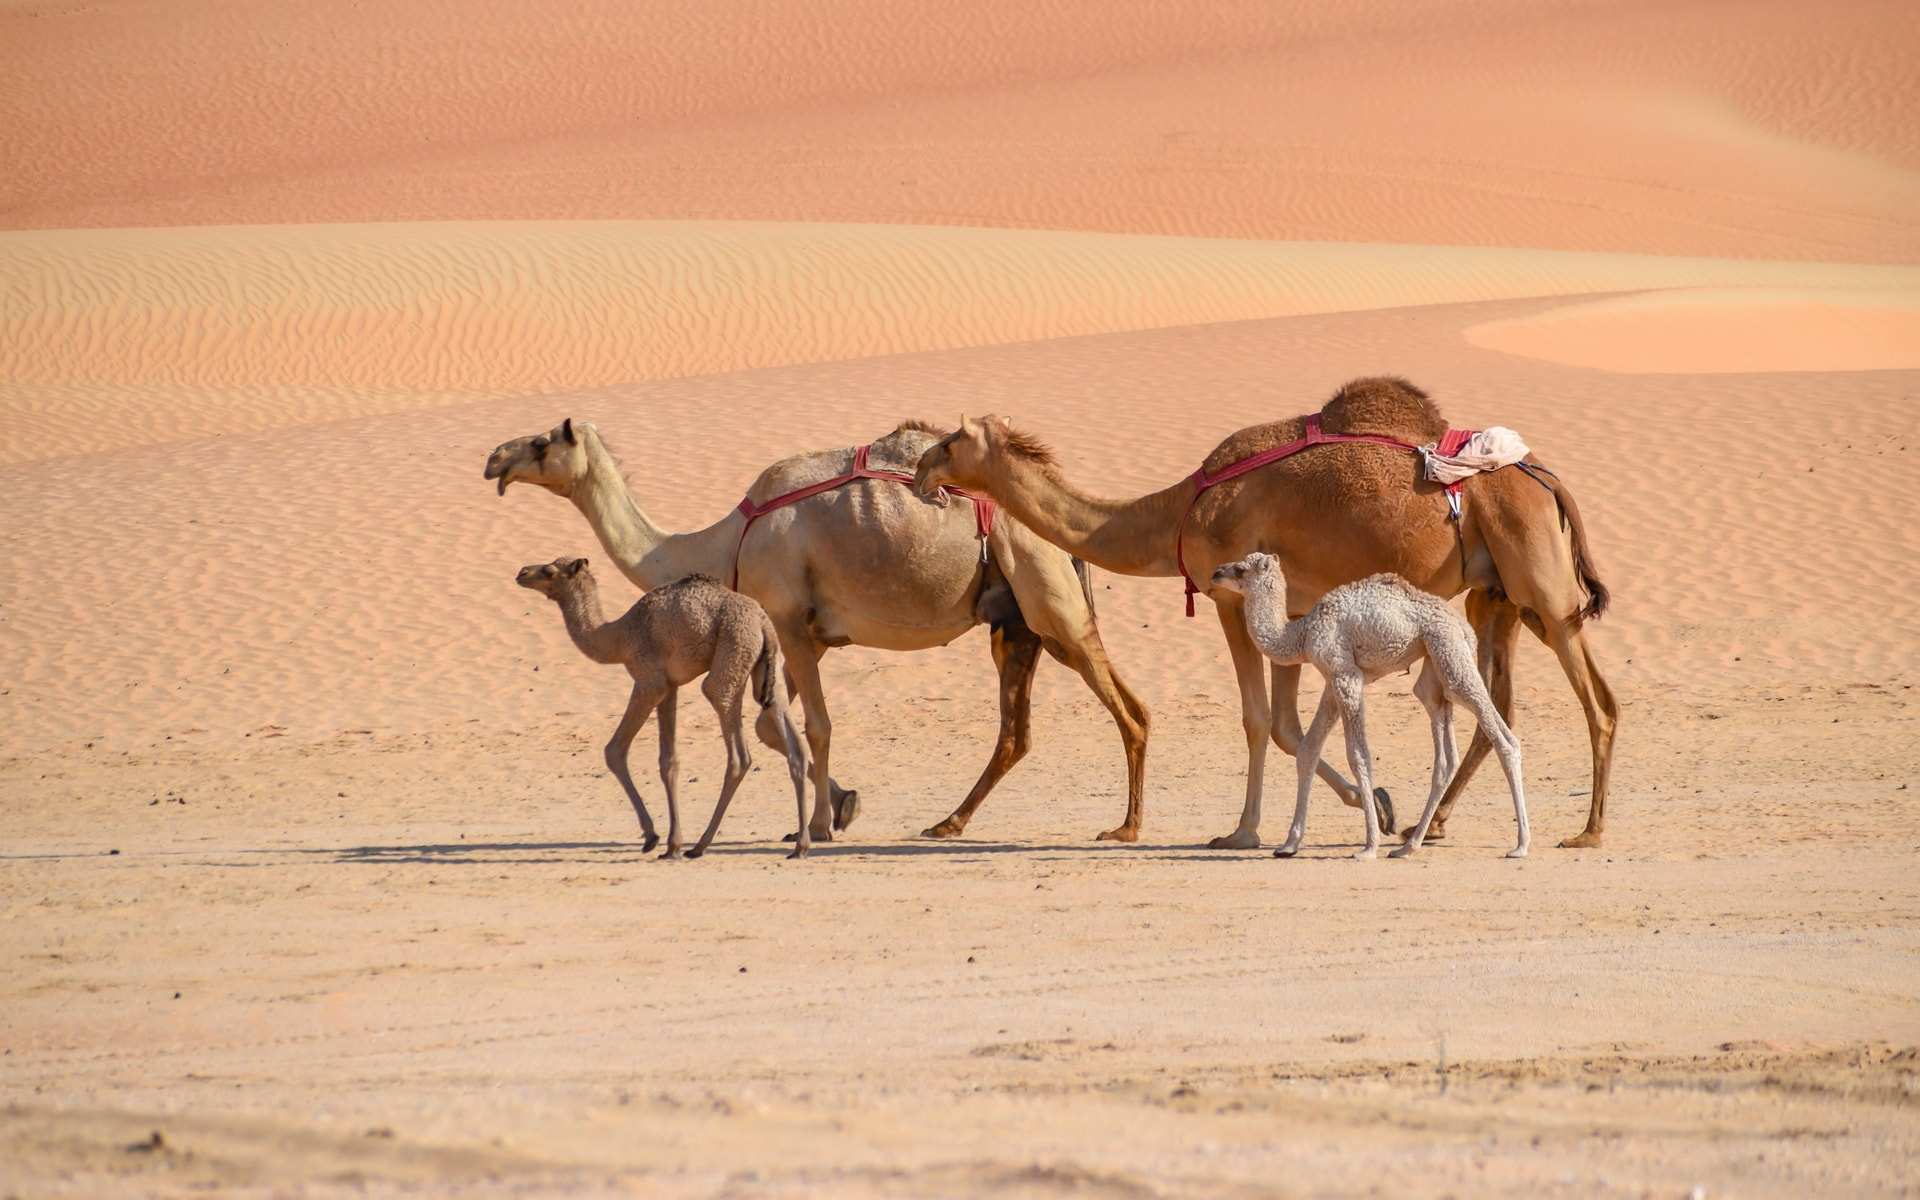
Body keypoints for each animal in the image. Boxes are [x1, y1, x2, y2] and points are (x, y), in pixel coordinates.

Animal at [517, 559, 811, 858]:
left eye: (550, 571)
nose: (522, 573)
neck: (619, 637)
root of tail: (763, 622)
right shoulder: (670, 687)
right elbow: (668, 761)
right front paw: (672, 844)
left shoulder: (650, 681)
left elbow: (615, 750)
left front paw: (653, 837)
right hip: (767, 670)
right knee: (794, 746)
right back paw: (800, 845)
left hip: (732, 652)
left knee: (736, 747)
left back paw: (701, 845)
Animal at [1211, 554, 1528, 860]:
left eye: (1241, 569)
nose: (1216, 572)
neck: (1301, 633)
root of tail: (1464, 628)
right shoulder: (1332, 681)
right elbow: (1308, 750)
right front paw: (1289, 844)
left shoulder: (1346, 676)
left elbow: (1359, 756)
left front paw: (1369, 846)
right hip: (1435, 668)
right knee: (1445, 755)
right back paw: (1407, 846)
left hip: (1450, 656)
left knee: (1503, 737)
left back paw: (1520, 845)